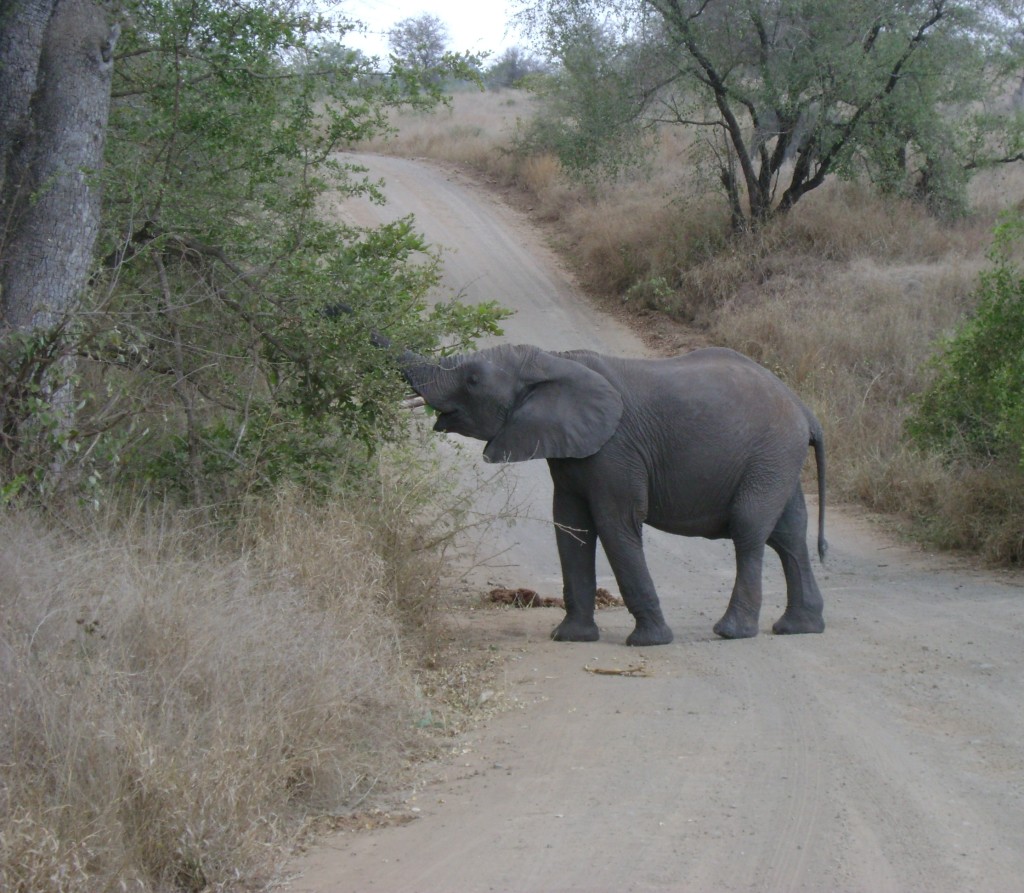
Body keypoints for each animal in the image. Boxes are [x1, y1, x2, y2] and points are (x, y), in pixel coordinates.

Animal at [395, 344, 827, 647]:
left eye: (471, 380)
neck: (553, 360)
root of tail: (806, 410)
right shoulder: (571, 454)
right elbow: (571, 528)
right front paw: (569, 638)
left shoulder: (616, 451)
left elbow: (615, 525)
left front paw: (649, 643)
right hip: (777, 462)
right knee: (790, 535)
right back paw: (799, 628)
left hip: (768, 457)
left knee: (749, 531)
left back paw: (732, 632)